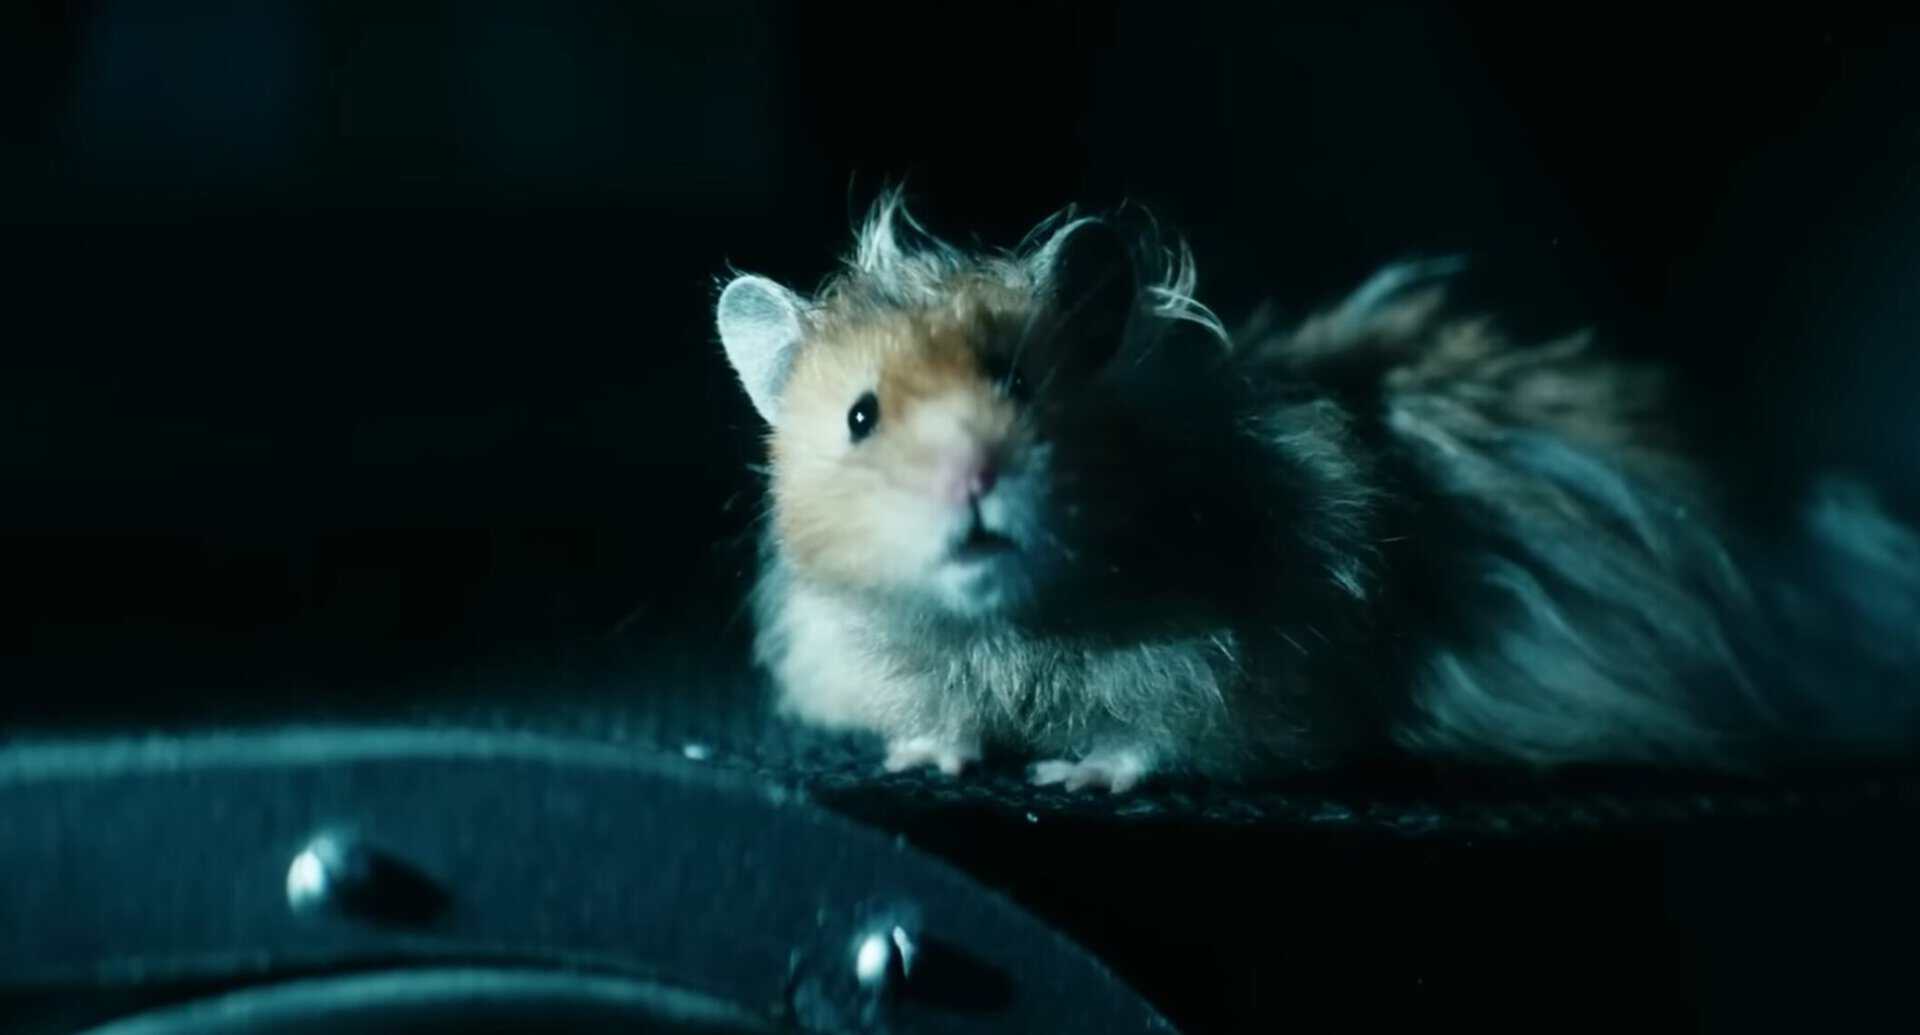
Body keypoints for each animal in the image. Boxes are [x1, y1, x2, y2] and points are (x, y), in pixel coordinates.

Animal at [713, 191, 1920, 792]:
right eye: (862, 418)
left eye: (1017, 381)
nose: (975, 481)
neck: (1020, 624)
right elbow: (942, 716)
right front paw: (928, 755)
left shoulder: (1252, 667)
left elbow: (1162, 737)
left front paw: (1075, 776)